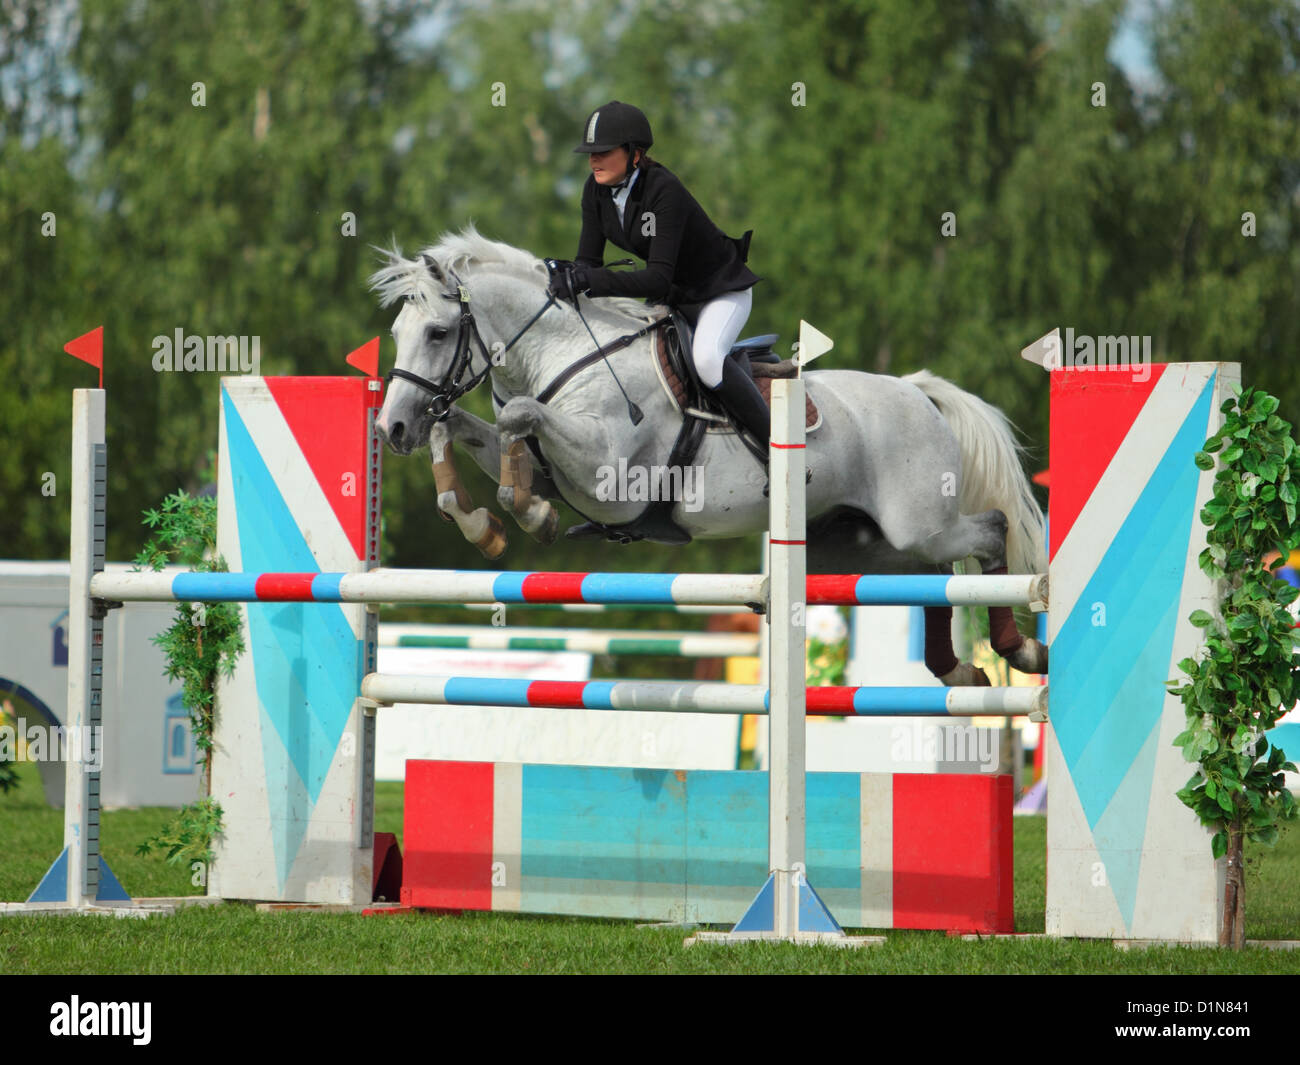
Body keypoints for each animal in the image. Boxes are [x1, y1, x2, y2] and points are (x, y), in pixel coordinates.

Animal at [368, 225, 1048, 685]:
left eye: (438, 333)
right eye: (398, 334)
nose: (392, 428)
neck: (565, 354)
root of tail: (917, 391)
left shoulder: (610, 476)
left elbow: (517, 417)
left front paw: (529, 516)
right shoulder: (545, 463)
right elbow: (462, 426)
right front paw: (480, 524)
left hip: (918, 523)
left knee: (991, 530)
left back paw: (1018, 650)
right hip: (859, 544)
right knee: (933, 574)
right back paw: (957, 670)